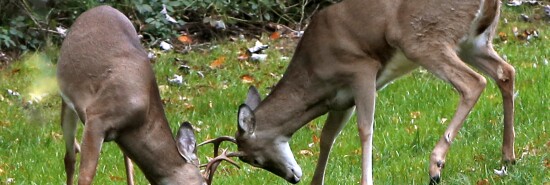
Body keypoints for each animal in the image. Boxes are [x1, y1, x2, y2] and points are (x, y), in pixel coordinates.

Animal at [206, 0, 516, 184]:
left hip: (423, 39)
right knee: (506, 72)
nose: (293, 178)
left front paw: (367, 180)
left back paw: (436, 166)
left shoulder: (361, 69)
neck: (315, 74)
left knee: (473, 82)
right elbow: (327, 138)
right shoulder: (341, 100)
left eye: (254, 159)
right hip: (474, 42)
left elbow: (365, 129)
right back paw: (507, 157)